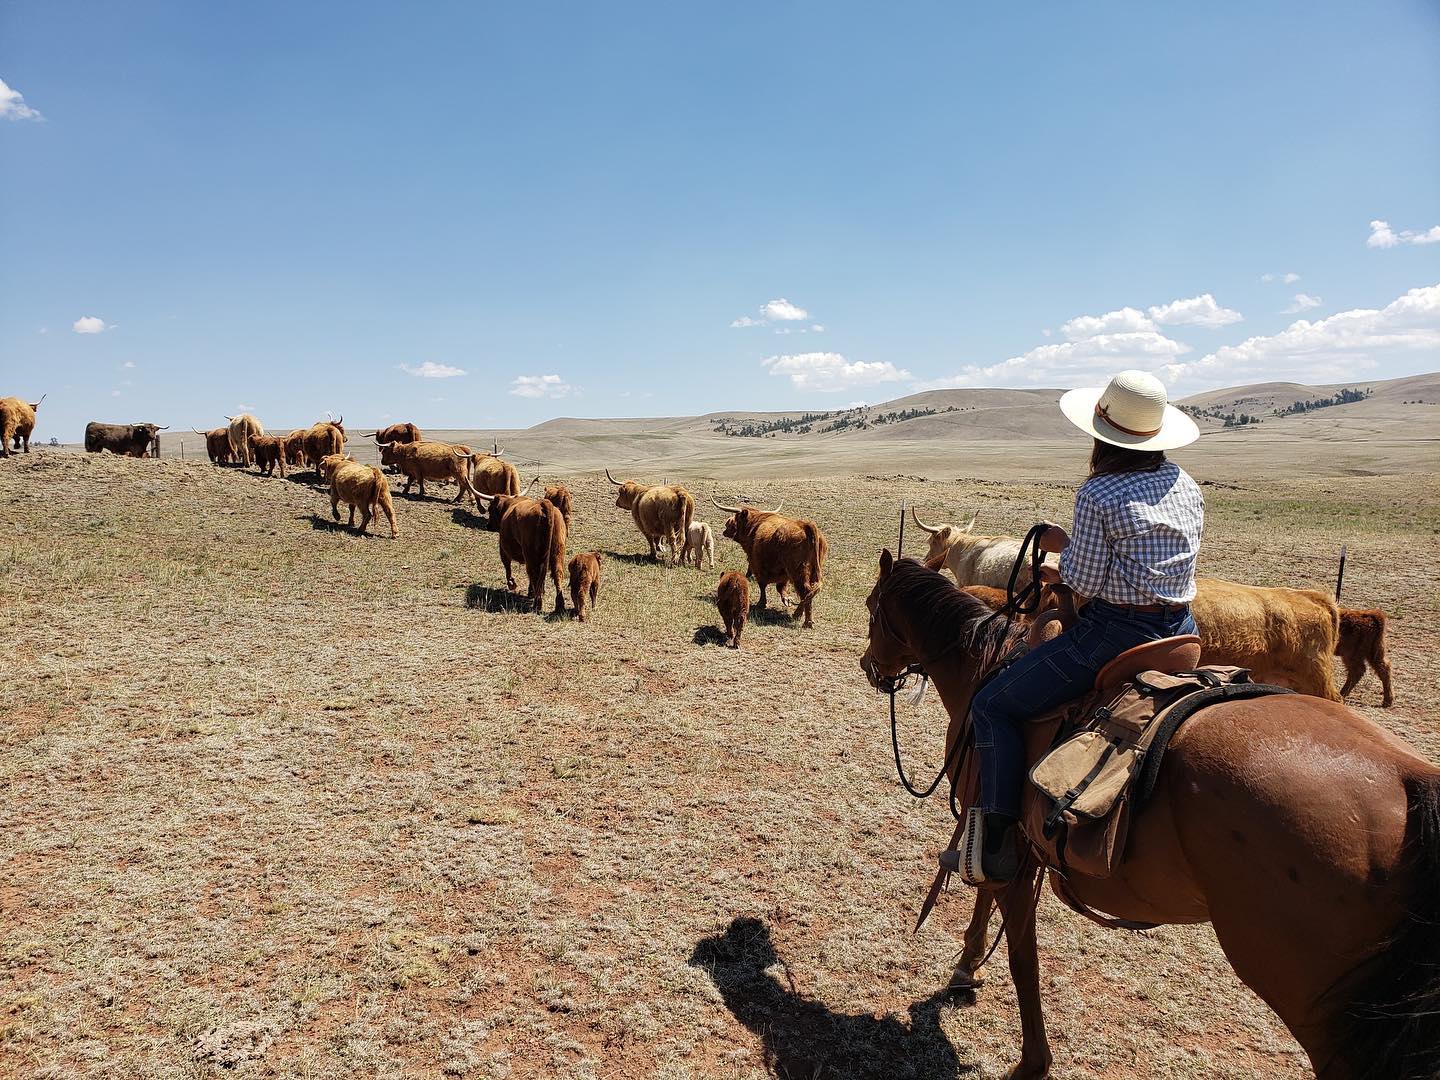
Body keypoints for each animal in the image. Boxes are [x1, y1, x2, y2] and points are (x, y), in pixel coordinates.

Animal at [858, 552, 1434, 1077]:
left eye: (870, 606)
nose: (870, 667)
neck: (984, 671)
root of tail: (1410, 779)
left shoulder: (1002, 831)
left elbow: (1023, 956)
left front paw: (1030, 1061)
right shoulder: (1012, 838)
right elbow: (986, 899)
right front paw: (967, 968)